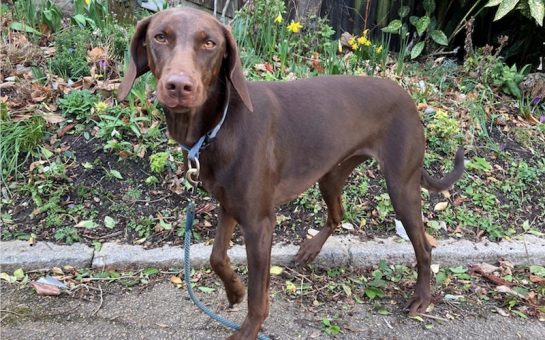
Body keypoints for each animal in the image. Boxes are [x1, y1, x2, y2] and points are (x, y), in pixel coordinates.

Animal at [119, 7, 464, 340]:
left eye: (209, 43)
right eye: (160, 37)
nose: (179, 86)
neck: (220, 125)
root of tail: (407, 96)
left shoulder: (259, 223)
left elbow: (258, 296)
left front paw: (248, 330)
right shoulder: (229, 204)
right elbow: (217, 256)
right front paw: (234, 291)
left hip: (401, 185)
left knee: (424, 247)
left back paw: (421, 298)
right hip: (330, 174)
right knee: (338, 214)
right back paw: (311, 248)